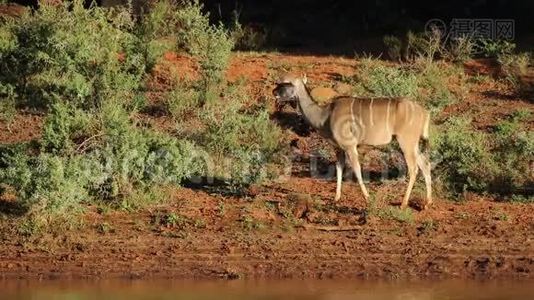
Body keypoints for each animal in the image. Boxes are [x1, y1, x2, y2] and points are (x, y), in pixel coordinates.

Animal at [274, 75, 434, 209]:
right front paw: (336, 198)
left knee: (414, 169)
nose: (273, 91)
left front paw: (367, 198)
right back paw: (427, 202)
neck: (325, 115)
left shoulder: (350, 146)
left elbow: (357, 170)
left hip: (406, 142)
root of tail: (424, 112)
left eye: (286, 83)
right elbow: (339, 168)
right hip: (413, 145)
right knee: (425, 164)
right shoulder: (338, 148)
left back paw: (403, 203)